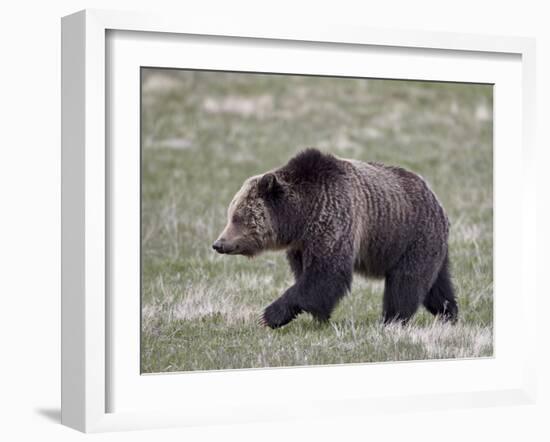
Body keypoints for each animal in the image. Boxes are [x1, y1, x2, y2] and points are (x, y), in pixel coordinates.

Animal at [213, 148, 460, 328]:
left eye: (237, 217)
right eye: (230, 214)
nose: (218, 244)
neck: (301, 217)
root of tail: (437, 201)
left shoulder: (334, 219)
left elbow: (325, 273)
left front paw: (270, 315)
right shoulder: (302, 244)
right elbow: (308, 276)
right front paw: (320, 317)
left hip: (411, 237)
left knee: (405, 283)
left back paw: (392, 320)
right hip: (429, 247)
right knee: (438, 286)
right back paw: (449, 314)